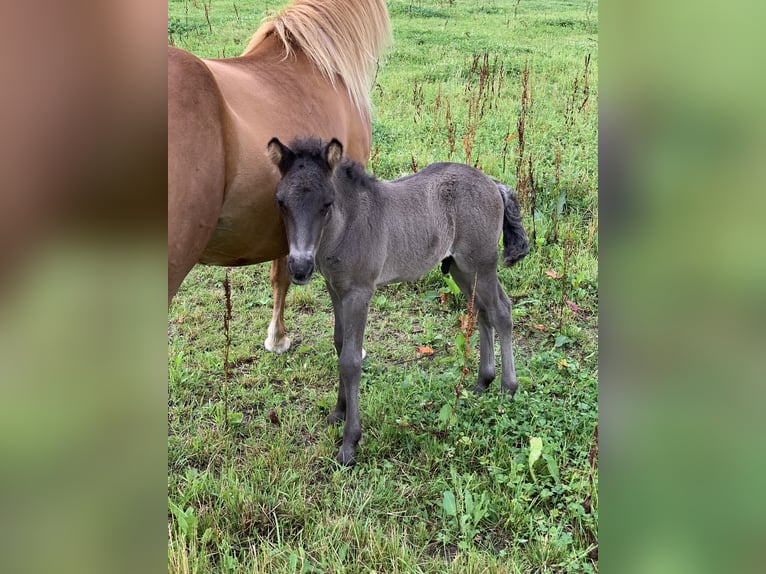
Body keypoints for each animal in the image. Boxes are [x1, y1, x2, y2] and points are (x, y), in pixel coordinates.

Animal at [266, 137, 530, 465]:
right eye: (281, 202)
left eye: (326, 204)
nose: (300, 267)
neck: (347, 225)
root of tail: (493, 183)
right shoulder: (335, 289)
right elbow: (340, 345)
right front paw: (338, 412)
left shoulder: (359, 292)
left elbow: (351, 360)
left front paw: (349, 443)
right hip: (462, 268)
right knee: (483, 311)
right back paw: (483, 381)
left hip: (481, 263)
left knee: (501, 311)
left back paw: (508, 388)